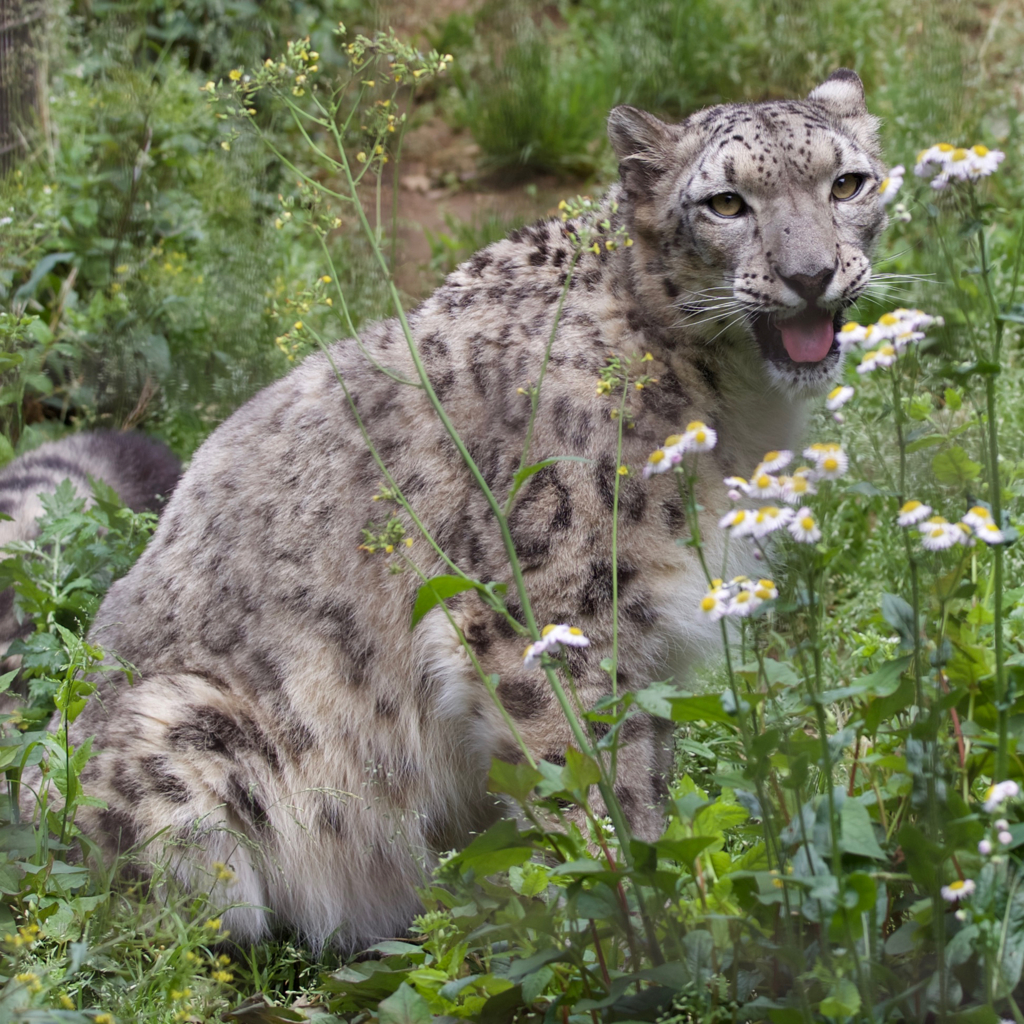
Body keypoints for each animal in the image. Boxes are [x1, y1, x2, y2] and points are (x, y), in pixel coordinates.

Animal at [36, 70, 884, 950]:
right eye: (725, 203)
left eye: (848, 184)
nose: (812, 274)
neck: (735, 413)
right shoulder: (551, 618)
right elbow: (589, 783)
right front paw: (635, 928)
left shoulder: (645, 647)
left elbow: (645, 774)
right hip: (185, 746)